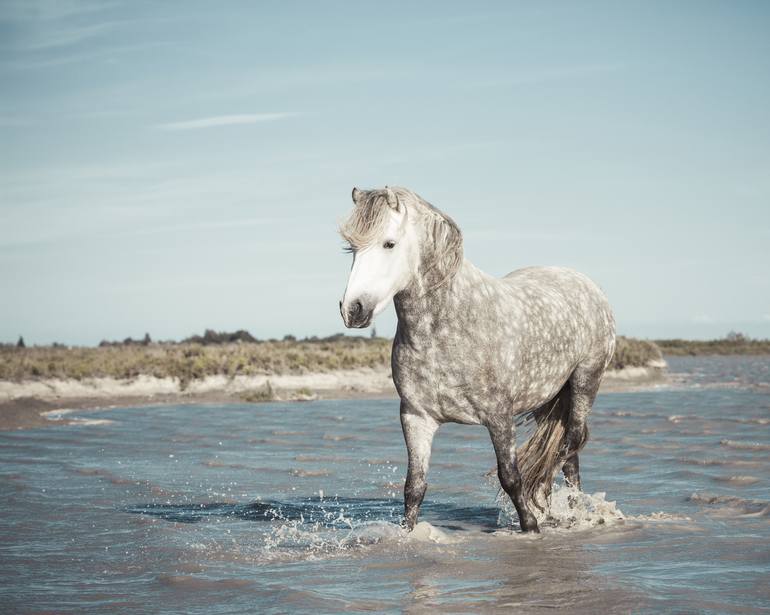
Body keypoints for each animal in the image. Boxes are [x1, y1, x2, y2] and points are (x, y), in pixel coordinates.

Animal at [340, 188, 616, 536]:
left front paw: (531, 526)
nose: (353, 310)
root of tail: (587, 284)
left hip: (585, 383)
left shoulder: (499, 417)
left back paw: (568, 512)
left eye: (389, 243)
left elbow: (510, 477)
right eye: (351, 248)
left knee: (569, 447)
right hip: (547, 398)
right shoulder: (416, 417)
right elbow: (414, 487)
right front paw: (409, 534)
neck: (447, 326)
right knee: (568, 457)